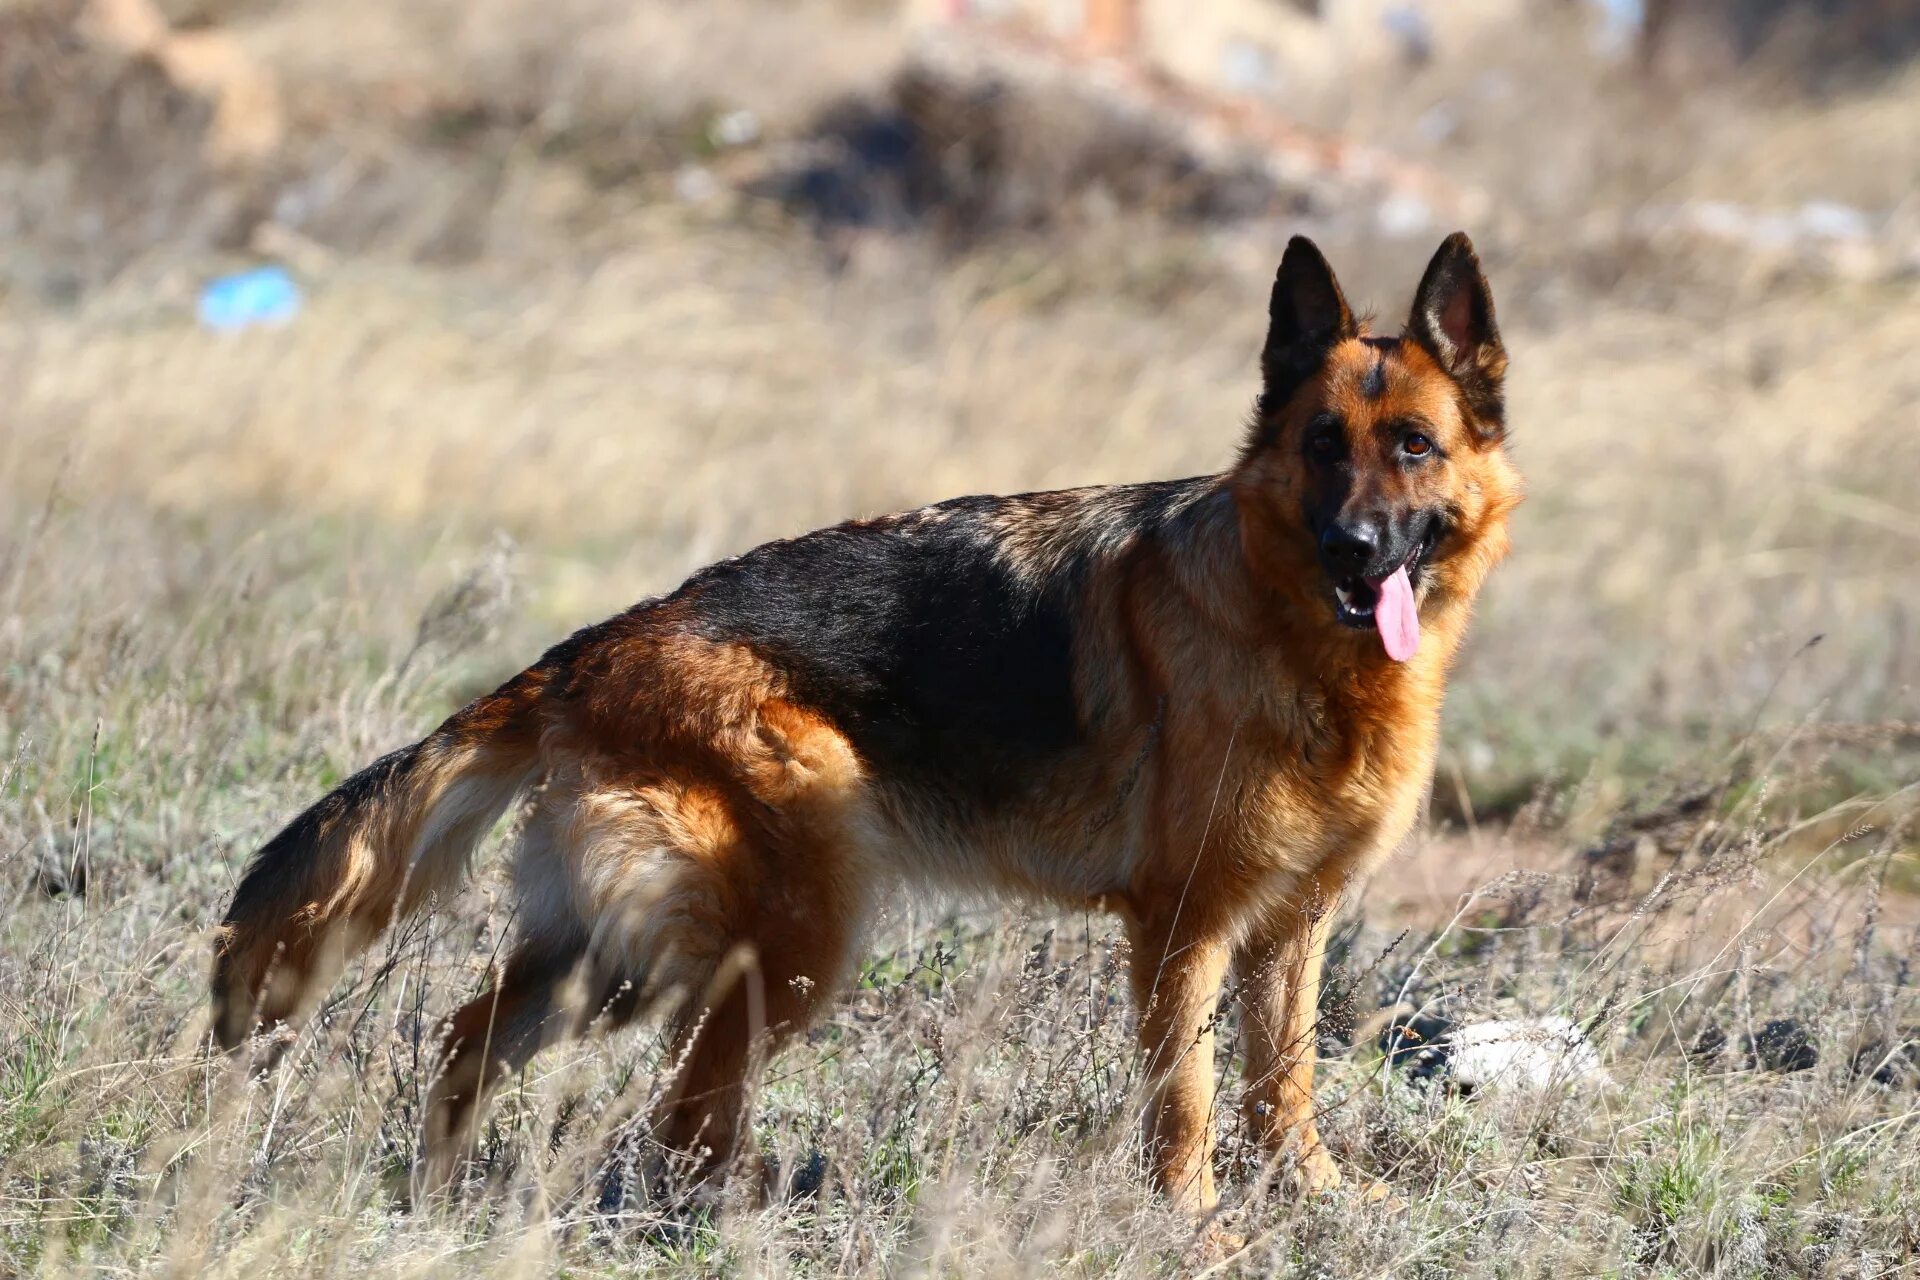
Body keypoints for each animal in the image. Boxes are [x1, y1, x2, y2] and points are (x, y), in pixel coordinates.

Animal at [214, 237, 1512, 1212]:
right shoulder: (1182, 929)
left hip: (614, 955)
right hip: (775, 950)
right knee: (680, 1123)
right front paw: (1198, 1228)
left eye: (1413, 445)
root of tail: (593, 648)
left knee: (475, 1041)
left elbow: (1282, 1081)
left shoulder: (1290, 926)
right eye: (1319, 447)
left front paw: (1317, 1199)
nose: (1353, 550)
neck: (1292, 636)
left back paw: (434, 1201)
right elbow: (1186, 1102)